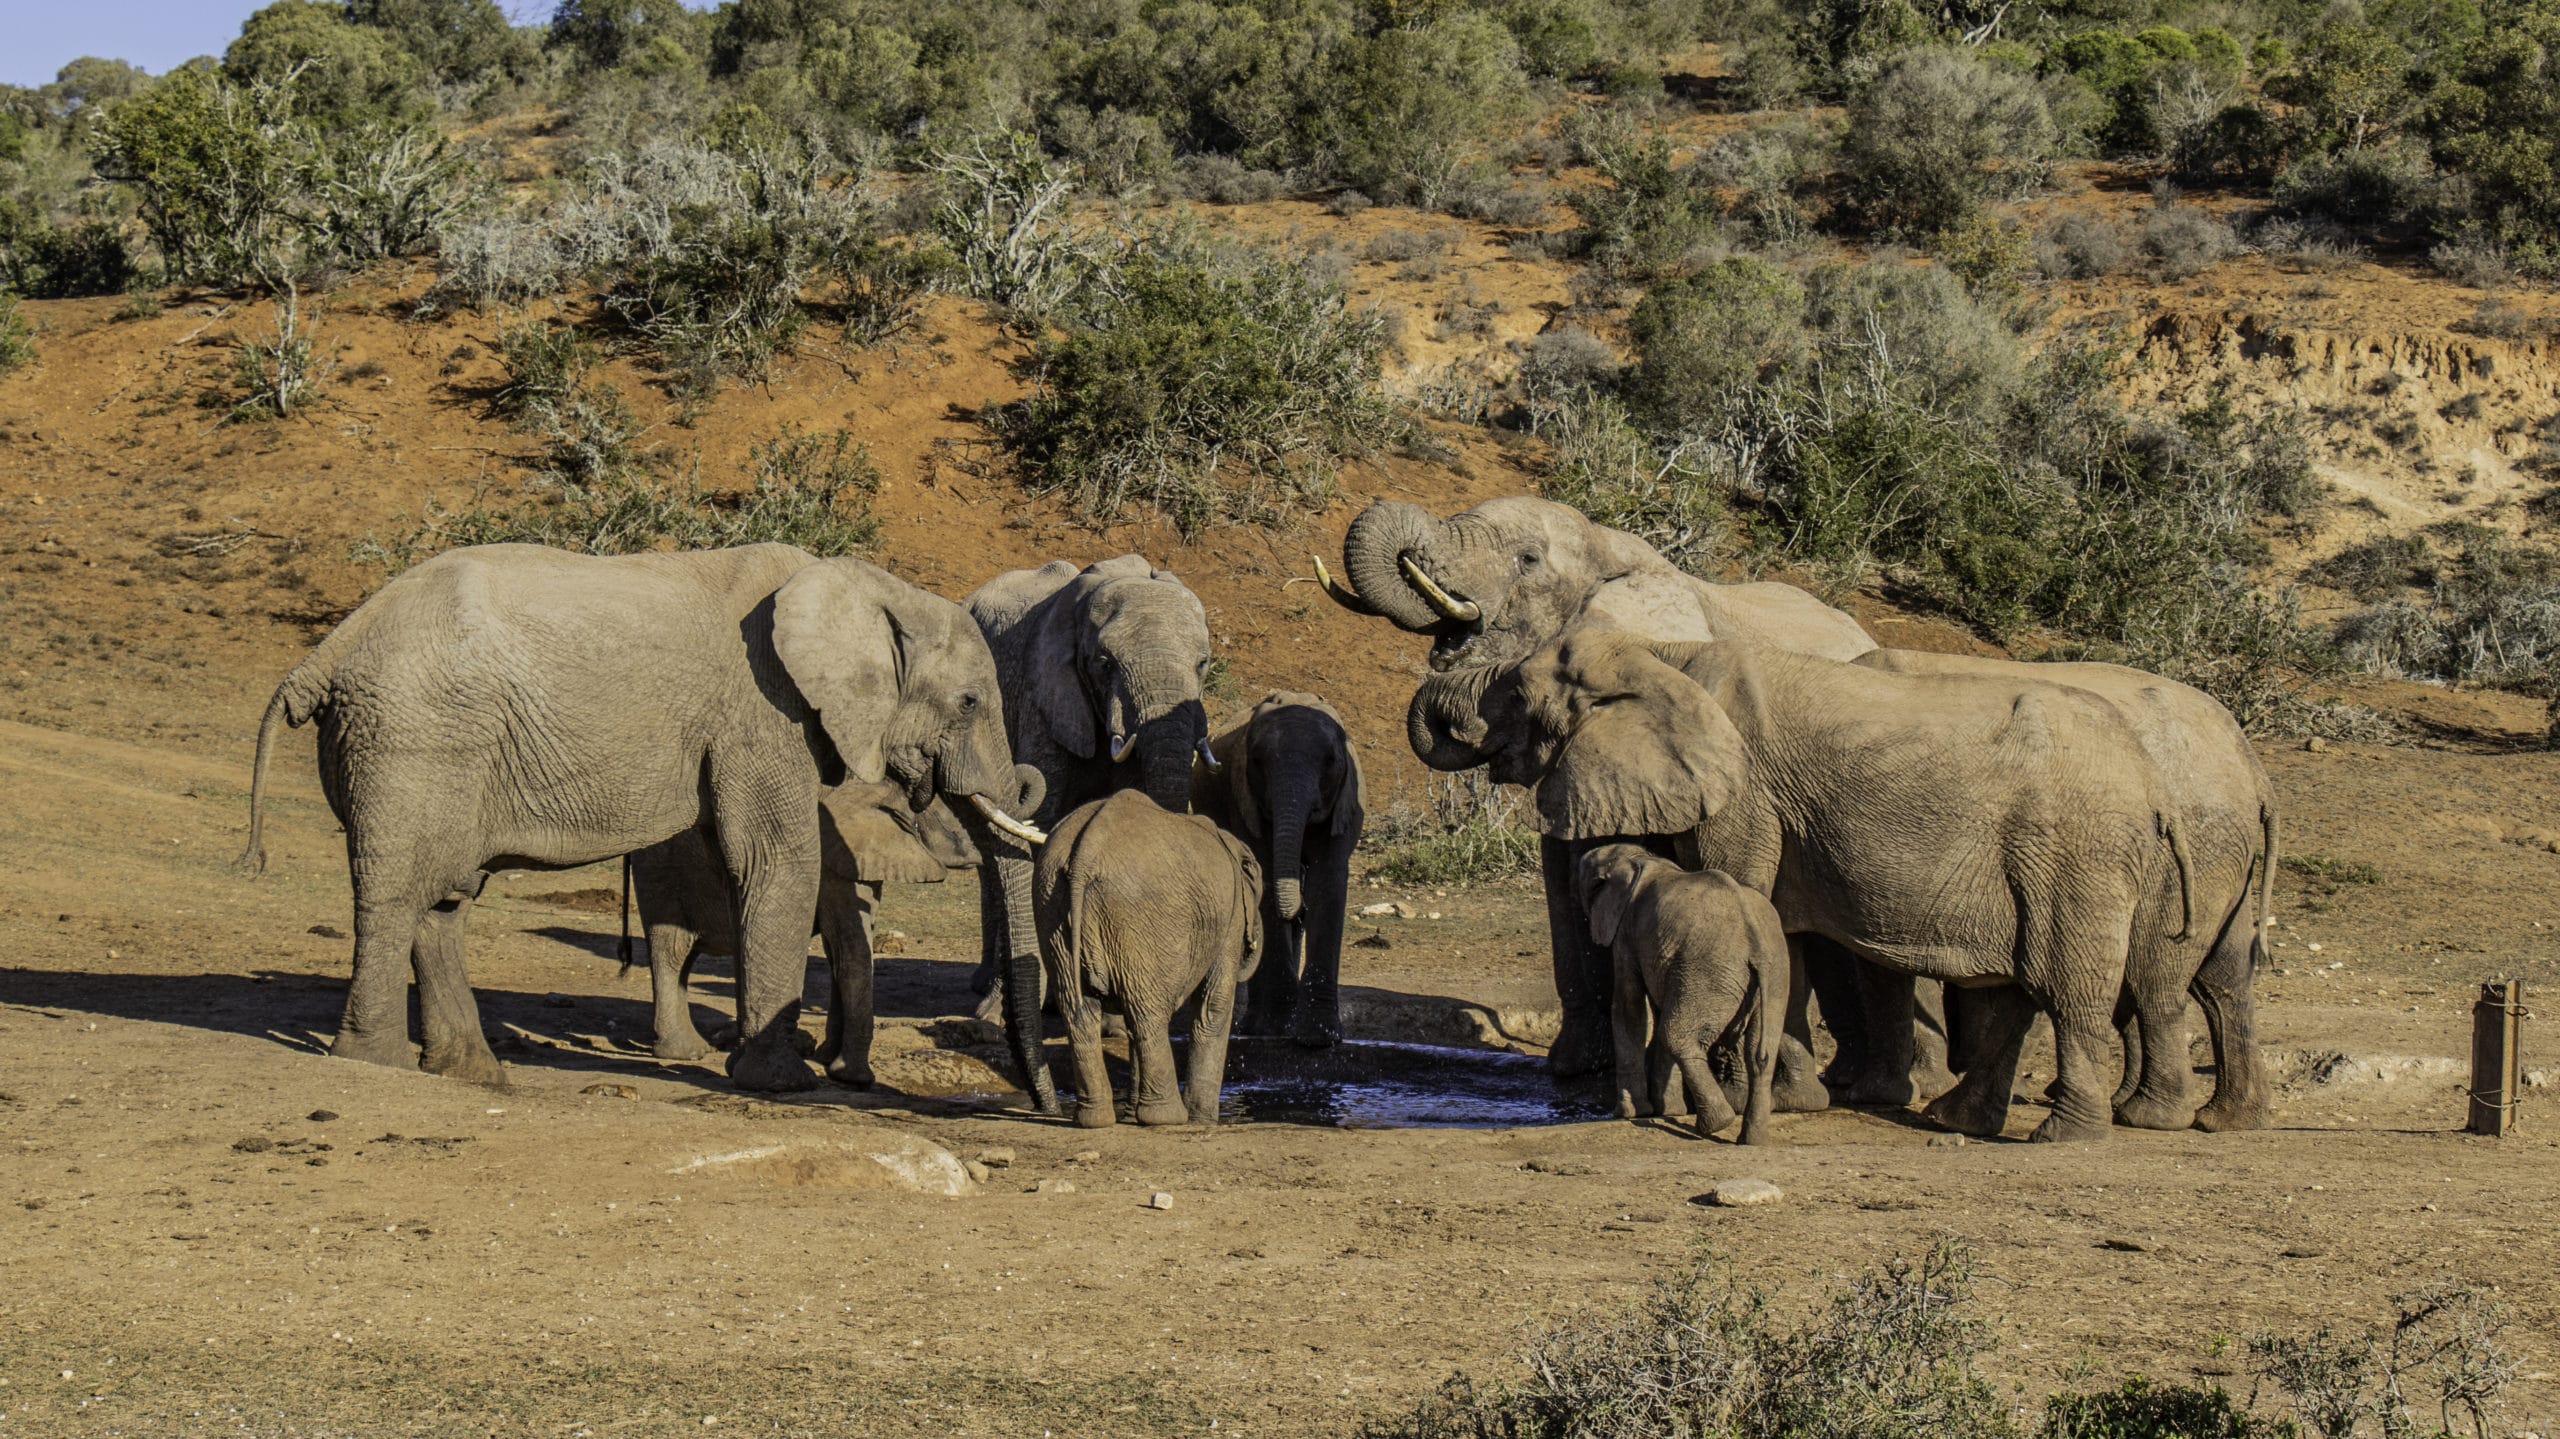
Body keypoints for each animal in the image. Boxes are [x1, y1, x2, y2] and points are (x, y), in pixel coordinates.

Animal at [235, 542, 1044, 1090]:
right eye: (971, 700)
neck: (870, 588)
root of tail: (326, 652)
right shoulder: (762, 711)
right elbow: (777, 860)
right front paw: (784, 1082)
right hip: (411, 740)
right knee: (400, 891)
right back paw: (376, 1064)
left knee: (443, 899)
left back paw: (472, 1073)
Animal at [1034, 783, 1264, 1121]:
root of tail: (1085, 855)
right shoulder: (1231, 917)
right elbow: (1214, 1006)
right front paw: (1203, 1119)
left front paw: (1132, 1116)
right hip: (1137, 915)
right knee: (1148, 1015)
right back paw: (1169, 1118)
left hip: (1052, 903)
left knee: (1082, 1012)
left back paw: (1095, 1120)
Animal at [1576, 839, 1781, 1141]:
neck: (1639, 859)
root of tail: (1753, 937)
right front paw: (1667, 1111)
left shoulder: (1626, 931)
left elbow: (1629, 1006)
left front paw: (1630, 1114)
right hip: (1773, 973)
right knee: (1761, 1054)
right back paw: (1751, 1141)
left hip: (1708, 969)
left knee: (1676, 1035)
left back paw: (1715, 1125)